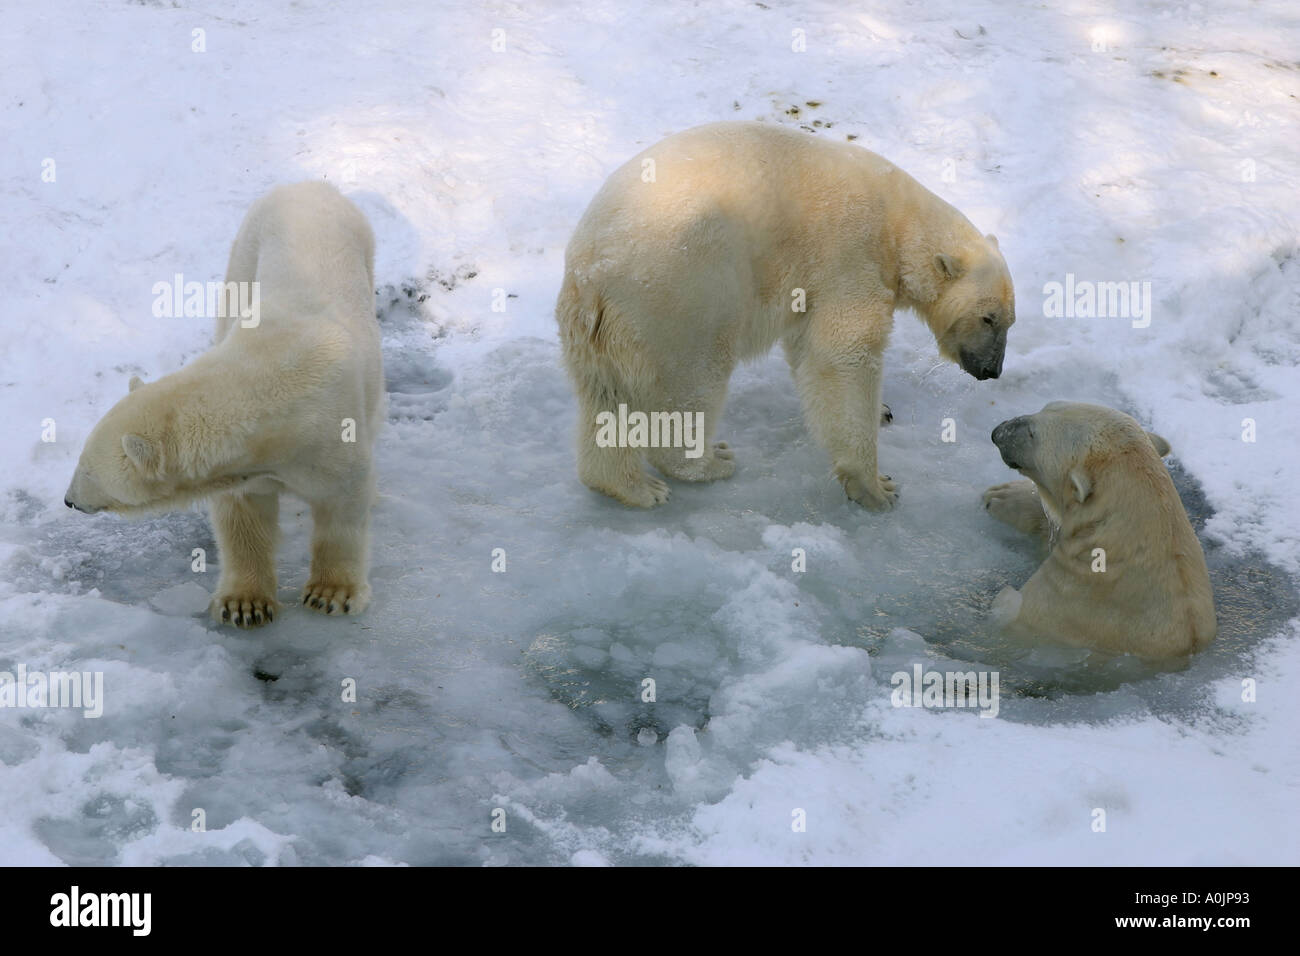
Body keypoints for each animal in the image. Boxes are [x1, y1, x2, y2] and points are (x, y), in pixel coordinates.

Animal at [64, 183, 382, 629]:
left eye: (87, 468)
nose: (69, 500)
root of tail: (308, 186)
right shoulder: (249, 465)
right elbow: (243, 515)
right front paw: (244, 604)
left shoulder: (332, 435)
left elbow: (342, 505)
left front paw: (332, 594)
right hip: (247, 253)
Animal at [559, 124, 1013, 512]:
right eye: (988, 318)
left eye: (1009, 322)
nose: (992, 370)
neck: (897, 223)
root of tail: (590, 274)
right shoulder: (850, 256)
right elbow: (843, 354)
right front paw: (876, 487)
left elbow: (808, 350)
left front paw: (882, 412)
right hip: (684, 294)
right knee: (691, 382)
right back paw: (710, 461)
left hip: (604, 331)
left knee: (605, 397)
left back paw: (631, 487)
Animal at [982, 403, 1216, 658]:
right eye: (1046, 407)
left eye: (1033, 434)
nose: (997, 432)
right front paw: (1003, 496)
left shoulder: (1068, 598)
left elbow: (1008, 611)